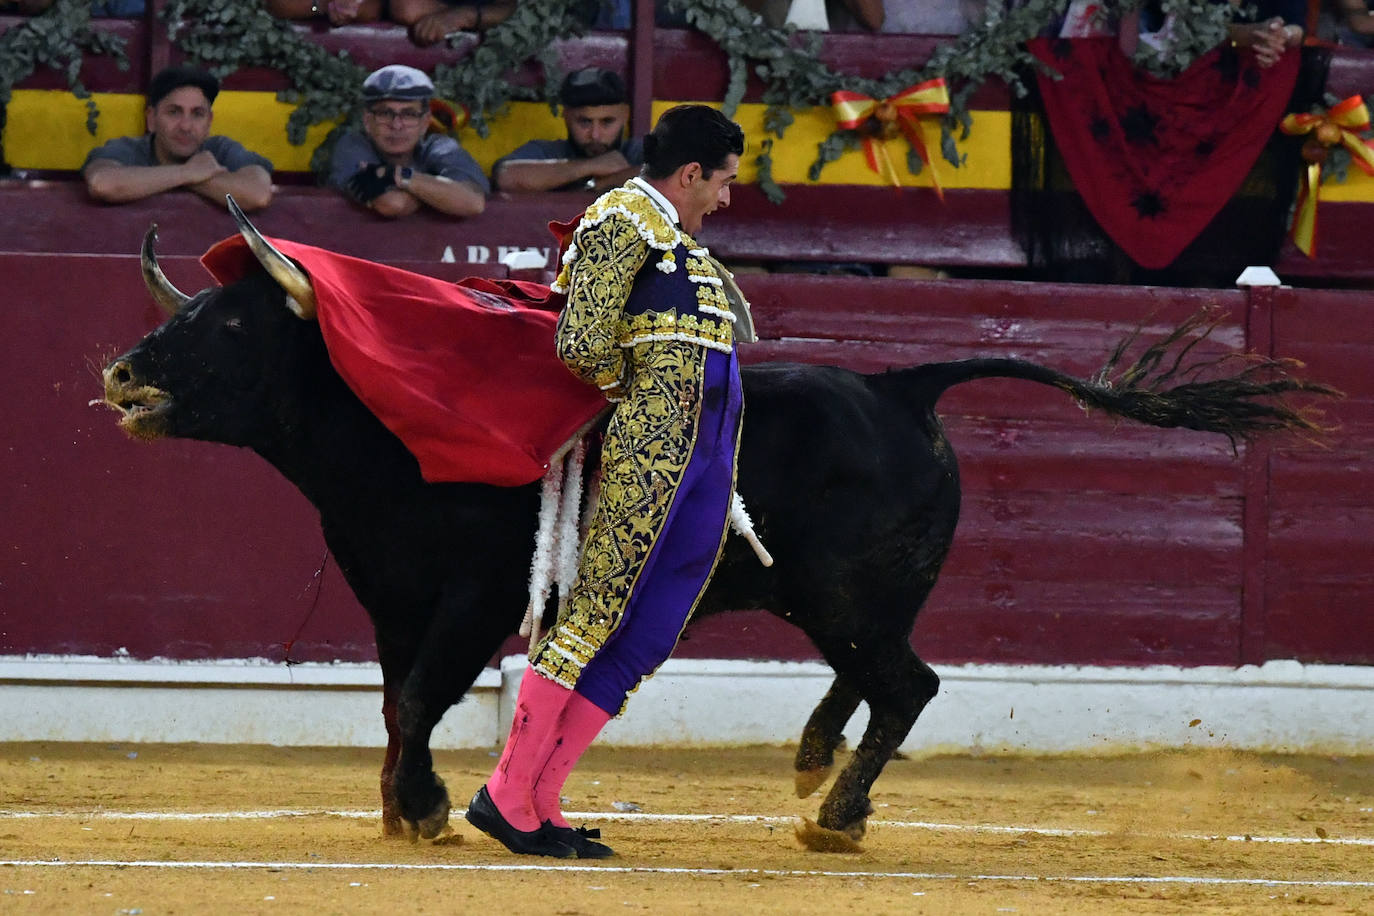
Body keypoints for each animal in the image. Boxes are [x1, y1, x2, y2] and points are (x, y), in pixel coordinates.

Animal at [99, 222, 1330, 851]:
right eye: (187, 312)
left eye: (234, 321)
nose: (121, 373)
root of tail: (904, 381)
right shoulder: (390, 595)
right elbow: (402, 697)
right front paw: (416, 805)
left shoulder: (476, 597)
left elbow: (424, 697)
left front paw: (430, 810)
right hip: (839, 597)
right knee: (875, 677)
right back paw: (816, 763)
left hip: (845, 595)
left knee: (909, 682)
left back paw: (835, 815)